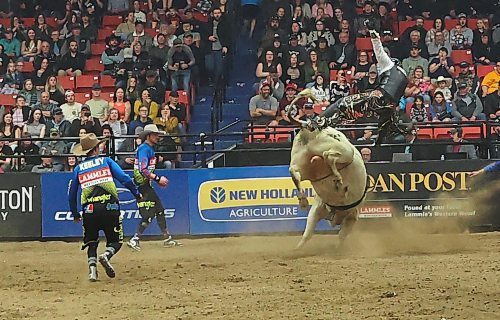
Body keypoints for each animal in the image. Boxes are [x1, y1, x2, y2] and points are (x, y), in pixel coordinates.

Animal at [286, 89, 368, 249]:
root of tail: (309, 125)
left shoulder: (317, 208)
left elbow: (308, 232)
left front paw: (297, 249)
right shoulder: (352, 215)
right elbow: (341, 235)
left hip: (302, 162)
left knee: (294, 172)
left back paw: (303, 200)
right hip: (344, 151)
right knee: (328, 156)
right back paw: (338, 179)